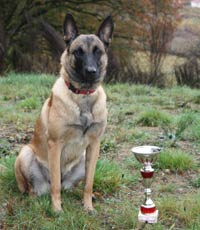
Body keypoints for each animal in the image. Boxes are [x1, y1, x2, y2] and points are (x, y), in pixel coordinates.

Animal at [14, 13, 114, 212]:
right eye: (78, 52)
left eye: (98, 51)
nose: (91, 71)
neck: (83, 95)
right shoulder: (55, 144)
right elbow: (55, 185)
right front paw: (57, 209)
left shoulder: (94, 145)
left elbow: (89, 183)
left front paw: (88, 206)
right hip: (25, 154)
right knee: (34, 188)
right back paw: (33, 199)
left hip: (82, 158)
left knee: (70, 185)